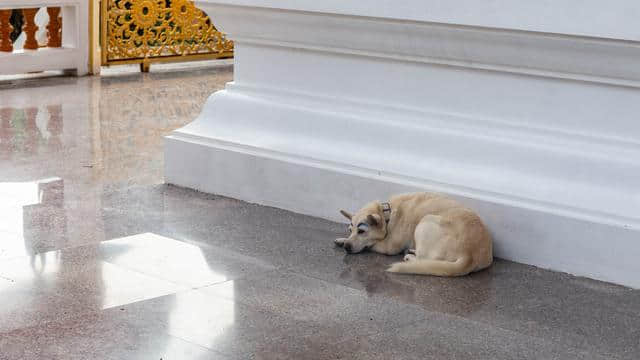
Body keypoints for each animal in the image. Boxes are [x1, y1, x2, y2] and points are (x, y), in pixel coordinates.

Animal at [338, 194, 492, 276]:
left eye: (361, 231)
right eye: (350, 230)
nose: (347, 246)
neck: (387, 213)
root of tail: (470, 255)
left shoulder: (389, 247)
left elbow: (372, 244)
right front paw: (342, 239)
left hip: (424, 222)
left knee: (424, 259)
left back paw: (410, 258)